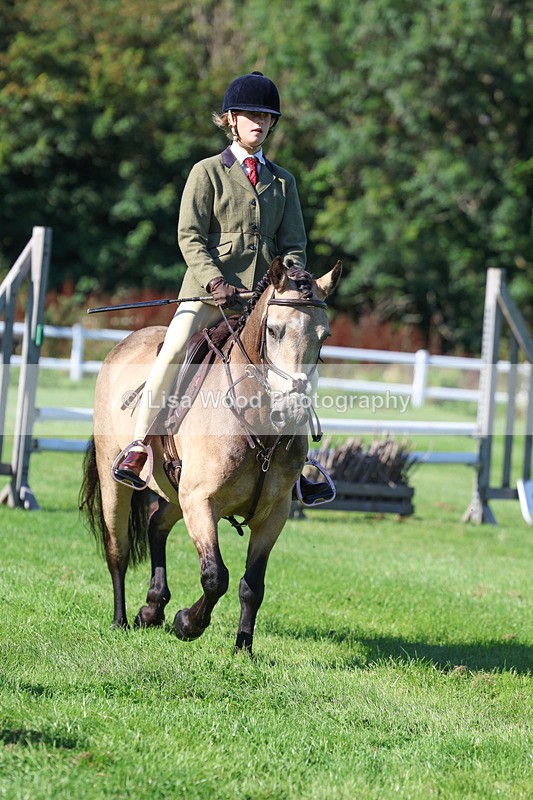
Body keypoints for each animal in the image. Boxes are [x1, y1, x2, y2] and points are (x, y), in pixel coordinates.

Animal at [80, 257, 341, 655]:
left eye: (324, 336)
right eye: (275, 331)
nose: (292, 409)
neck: (258, 419)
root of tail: (124, 343)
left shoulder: (273, 514)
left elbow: (252, 585)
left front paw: (243, 647)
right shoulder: (200, 501)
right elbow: (216, 576)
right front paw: (187, 624)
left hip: (174, 490)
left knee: (156, 526)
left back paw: (152, 608)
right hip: (122, 487)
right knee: (117, 550)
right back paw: (121, 620)